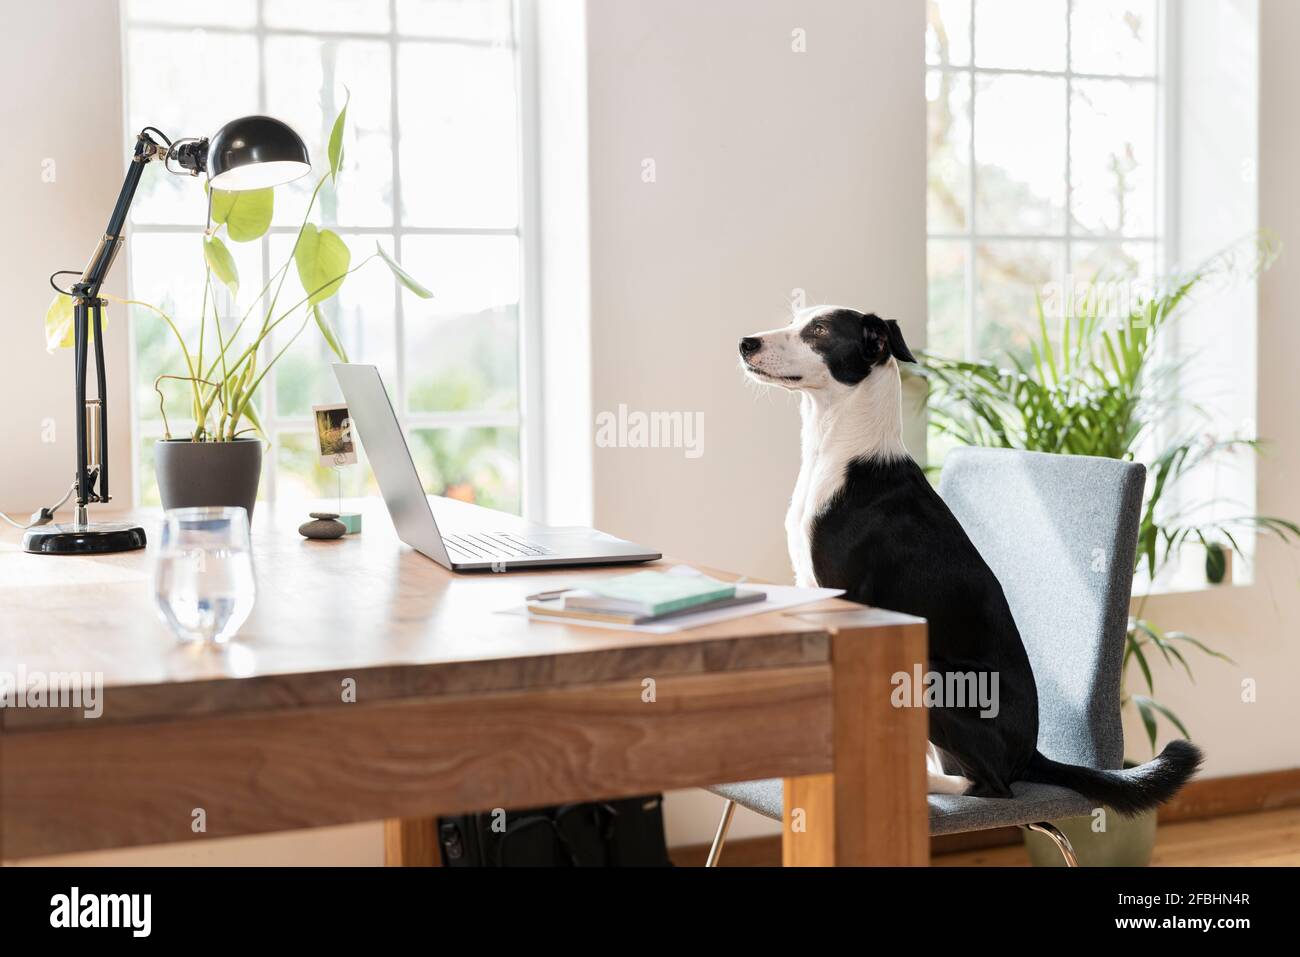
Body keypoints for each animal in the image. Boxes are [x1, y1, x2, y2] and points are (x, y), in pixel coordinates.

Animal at [738, 302, 1201, 811]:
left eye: (819, 330)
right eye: (795, 317)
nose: (746, 343)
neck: (842, 451)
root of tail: (1031, 753)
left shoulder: (847, 603)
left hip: (932, 677)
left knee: (991, 785)